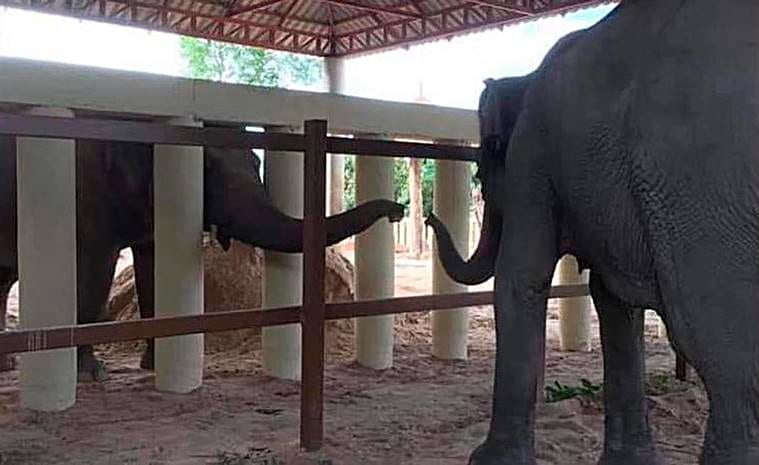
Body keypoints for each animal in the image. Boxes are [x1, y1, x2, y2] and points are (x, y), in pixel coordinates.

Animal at [0, 133, 404, 381]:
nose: (398, 210)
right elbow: (94, 270)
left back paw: (6, 365)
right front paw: (90, 373)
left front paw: (154, 364)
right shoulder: (85, 191)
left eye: (257, 163)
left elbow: (154, 267)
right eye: (204, 168)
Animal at [426, 2, 759, 465]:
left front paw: (486, 460)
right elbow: (612, 301)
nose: (425, 216)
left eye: (486, 160)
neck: (526, 75)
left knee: (725, 357)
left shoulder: (532, 156)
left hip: (703, 184)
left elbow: (519, 279)